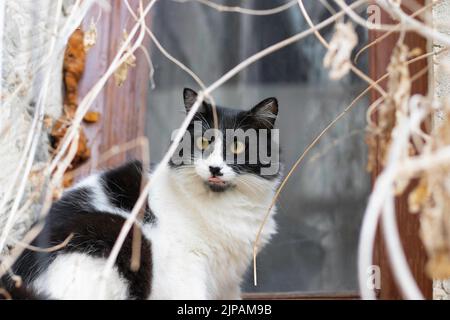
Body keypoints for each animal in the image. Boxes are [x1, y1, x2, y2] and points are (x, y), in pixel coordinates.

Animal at [0, 88, 282, 300]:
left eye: (238, 146)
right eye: (203, 142)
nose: (214, 168)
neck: (224, 205)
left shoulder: (228, 280)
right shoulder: (186, 265)